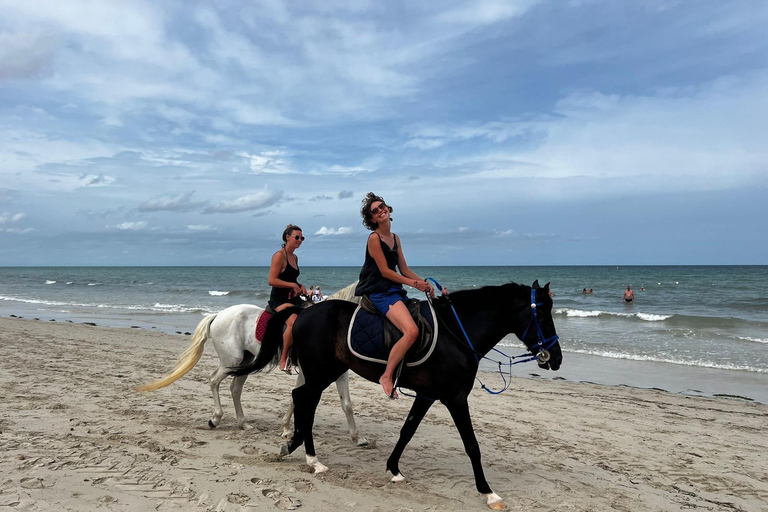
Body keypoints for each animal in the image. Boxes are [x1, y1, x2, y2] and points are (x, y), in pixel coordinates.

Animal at [138, 282, 366, 446]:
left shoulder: (335, 373)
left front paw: (357, 437)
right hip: (231, 361)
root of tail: (218, 315)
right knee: (214, 380)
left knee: (235, 388)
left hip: (245, 362)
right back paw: (215, 419)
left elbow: (346, 404)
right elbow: (298, 399)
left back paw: (243, 423)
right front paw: (287, 429)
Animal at [231, 282, 560, 510]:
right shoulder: (455, 398)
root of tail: (302, 313)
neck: (456, 333)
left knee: (302, 400)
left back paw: (298, 449)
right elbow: (471, 445)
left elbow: (407, 431)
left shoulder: (427, 396)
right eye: (543, 316)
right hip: (320, 372)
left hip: (326, 372)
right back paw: (309, 456)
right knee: (303, 400)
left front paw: (394, 469)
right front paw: (488, 492)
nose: (555, 358)